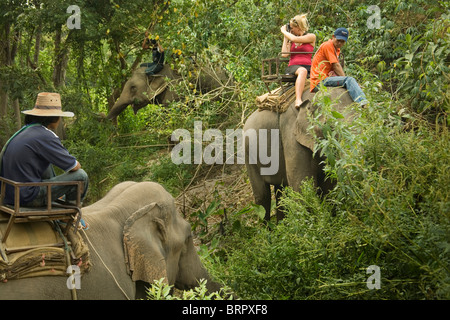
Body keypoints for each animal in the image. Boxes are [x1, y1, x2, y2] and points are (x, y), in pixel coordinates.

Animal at [246, 87, 356, 222]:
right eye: (330, 126)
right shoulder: (291, 135)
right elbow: (301, 187)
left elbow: (328, 184)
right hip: (248, 157)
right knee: (262, 196)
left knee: (280, 191)